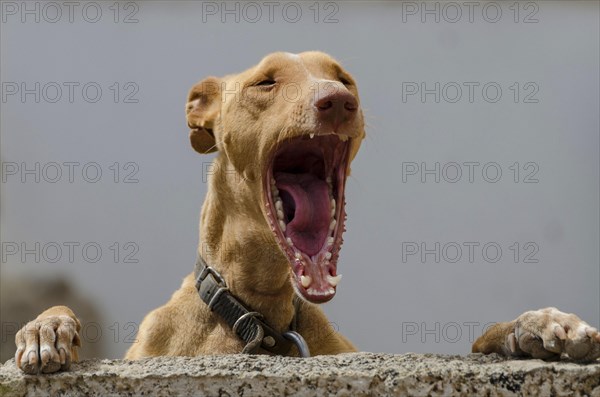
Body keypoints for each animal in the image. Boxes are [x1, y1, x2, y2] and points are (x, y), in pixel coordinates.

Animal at [12, 51, 600, 372]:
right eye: (265, 82)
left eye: (344, 77)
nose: (338, 101)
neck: (258, 318)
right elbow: (57, 315)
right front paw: (46, 329)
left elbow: (483, 337)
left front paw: (538, 326)